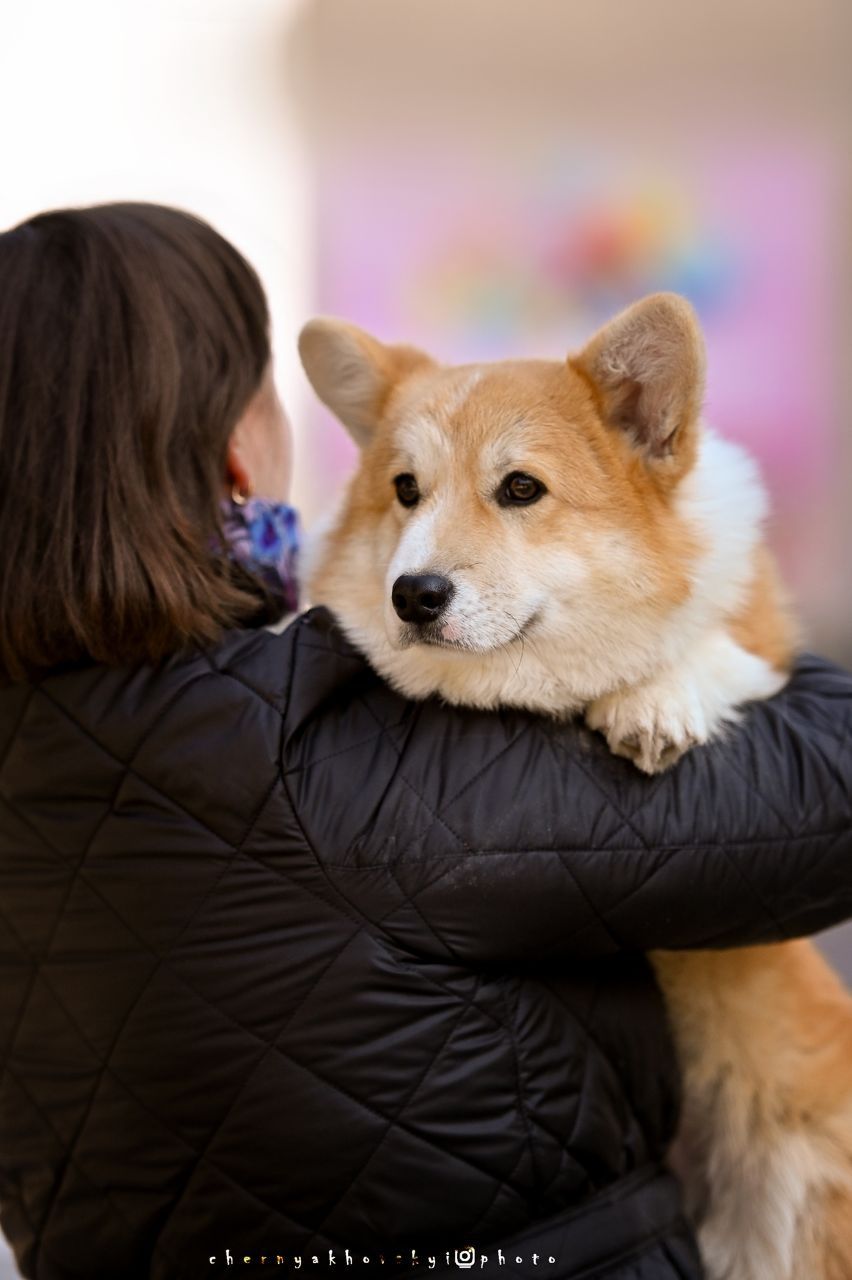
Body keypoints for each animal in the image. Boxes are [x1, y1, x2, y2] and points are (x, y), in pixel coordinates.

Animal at [296, 294, 849, 1274]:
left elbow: (706, 649)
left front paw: (654, 697)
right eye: (405, 490)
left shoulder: (762, 650)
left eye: (521, 489)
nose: (412, 595)